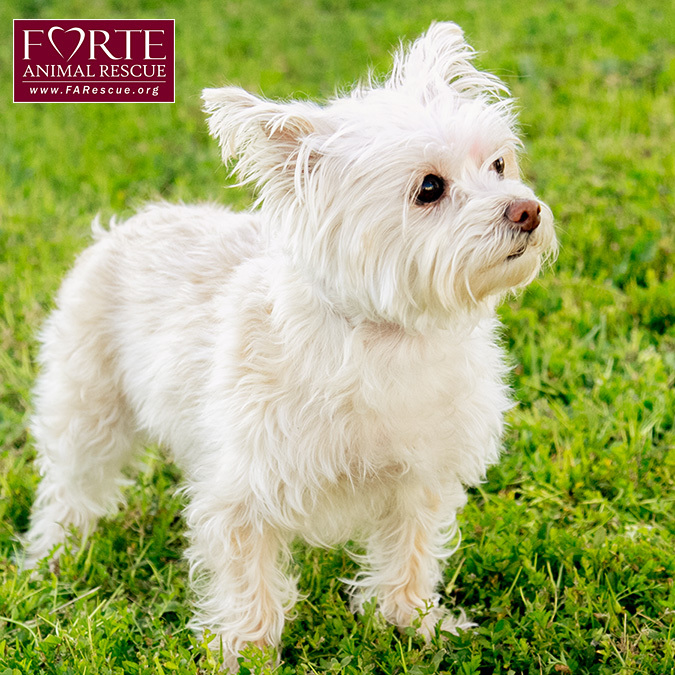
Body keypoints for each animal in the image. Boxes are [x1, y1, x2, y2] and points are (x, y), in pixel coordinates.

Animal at [23, 21, 556, 672]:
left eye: (499, 163)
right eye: (429, 188)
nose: (527, 210)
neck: (385, 335)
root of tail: (129, 224)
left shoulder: (420, 479)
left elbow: (409, 553)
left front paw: (410, 624)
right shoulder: (242, 493)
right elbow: (248, 580)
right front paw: (246, 652)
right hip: (87, 406)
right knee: (71, 486)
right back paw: (54, 556)